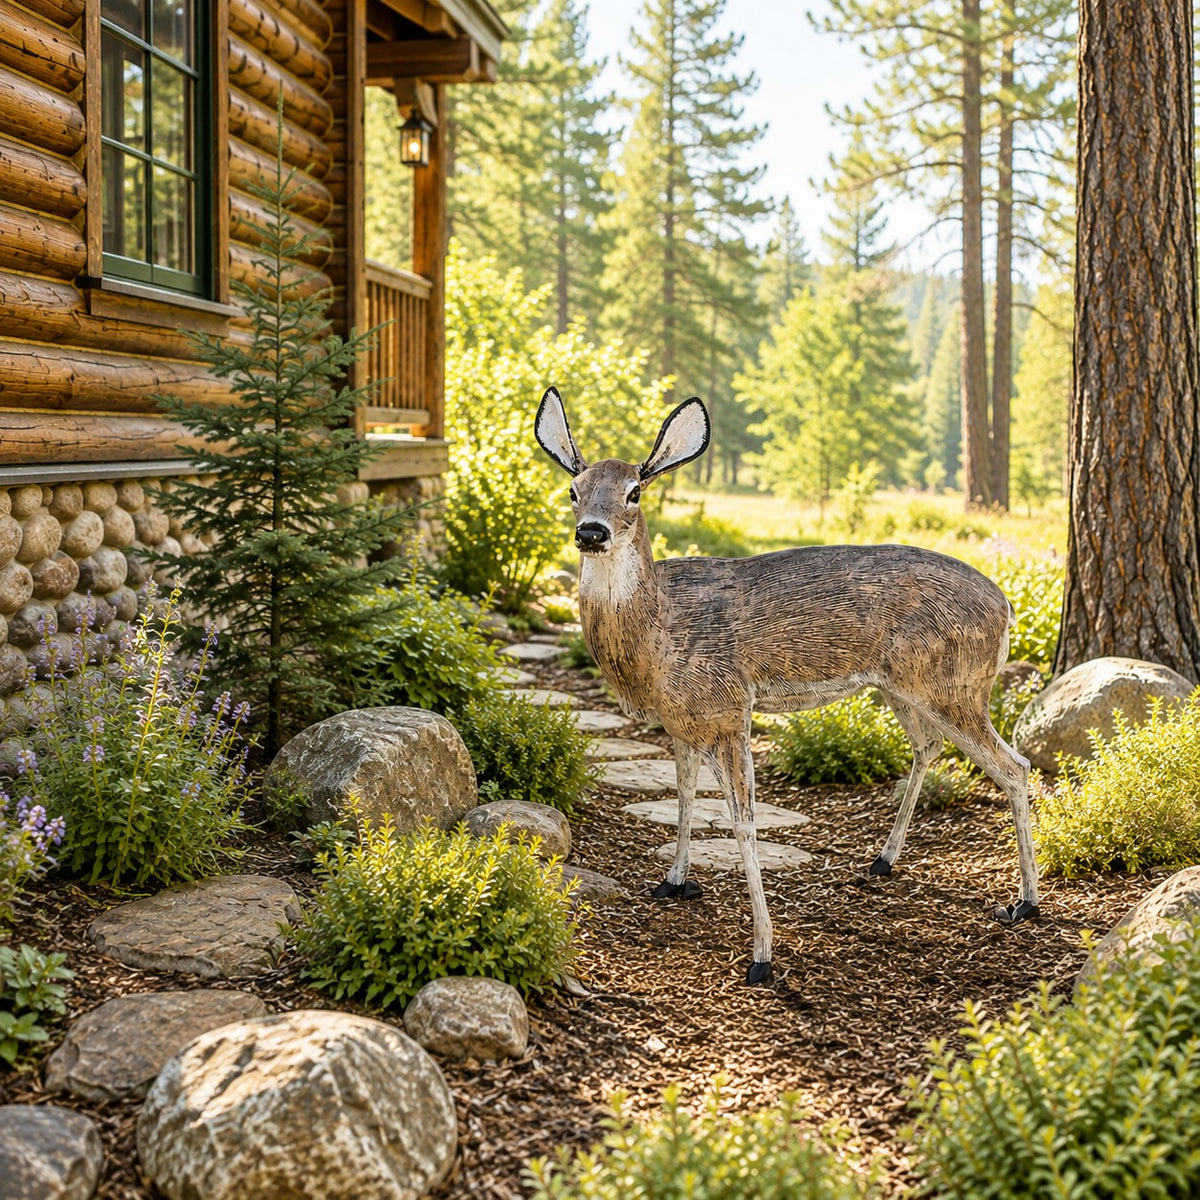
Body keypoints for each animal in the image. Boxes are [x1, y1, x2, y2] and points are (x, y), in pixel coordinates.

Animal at [535, 387, 1039, 984]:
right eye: (572, 490)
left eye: (634, 492)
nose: (591, 532)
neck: (658, 633)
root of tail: (1007, 607)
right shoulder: (682, 720)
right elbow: (683, 794)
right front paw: (673, 881)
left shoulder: (728, 705)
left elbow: (744, 822)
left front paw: (762, 955)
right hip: (902, 687)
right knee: (928, 746)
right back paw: (883, 860)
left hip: (956, 683)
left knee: (1014, 765)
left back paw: (1024, 903)